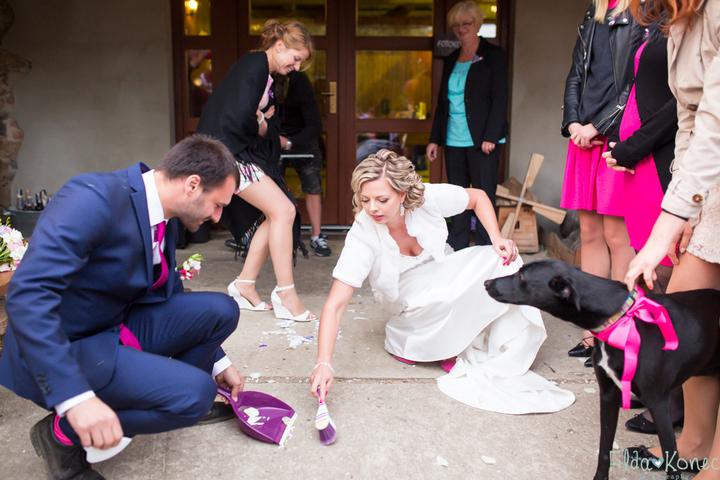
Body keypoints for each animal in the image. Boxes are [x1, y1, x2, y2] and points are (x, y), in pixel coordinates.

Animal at [484, 259, 720, 480]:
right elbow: (604, 447)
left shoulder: (658, 404)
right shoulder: (608, 395)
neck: (620, 320)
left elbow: (671, 459)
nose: (487, 283)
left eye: (522, 277)